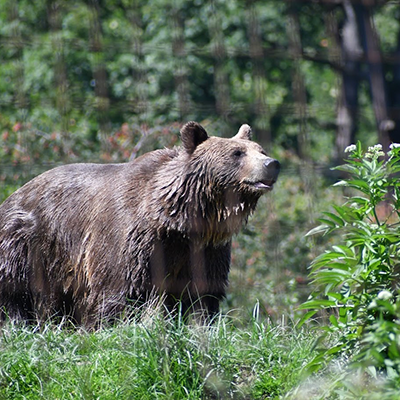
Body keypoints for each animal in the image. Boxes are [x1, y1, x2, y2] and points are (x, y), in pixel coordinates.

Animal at [0, 122, 280, 328]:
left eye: (261, 150)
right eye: (237, 153)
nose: (272, 164)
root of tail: (12, 195)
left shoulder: (206, 249)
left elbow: (203, 294)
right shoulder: (128, 239)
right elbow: (117, 291)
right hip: (26, 241)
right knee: (14, 290)